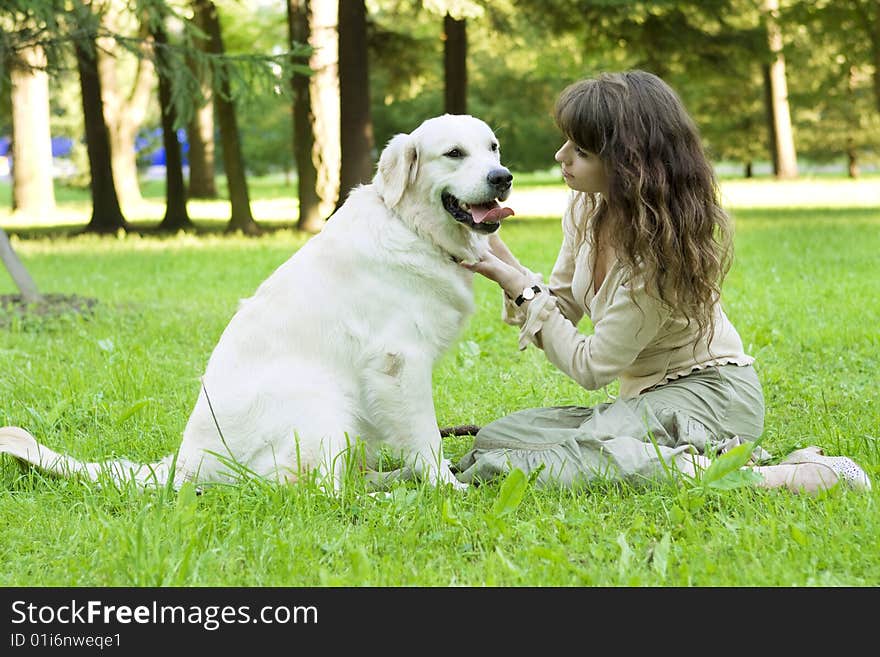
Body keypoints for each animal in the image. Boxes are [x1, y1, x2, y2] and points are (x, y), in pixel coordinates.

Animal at [0, 114, 512, 492]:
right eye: (454, 153)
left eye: (493, 147)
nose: (503, 178)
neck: (412, 227)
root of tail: (184, 465)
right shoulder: (398, 362)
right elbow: (425, 437)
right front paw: (446, 488)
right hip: (322, 401)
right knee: (315, 490)